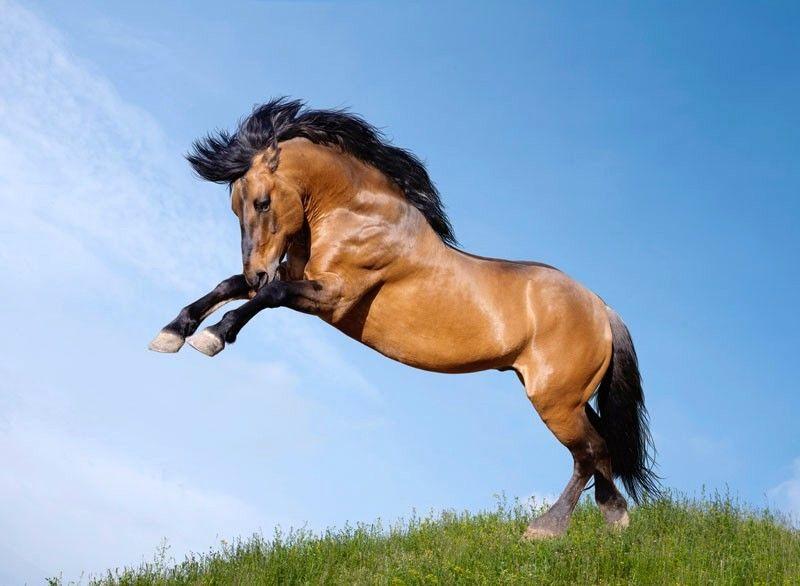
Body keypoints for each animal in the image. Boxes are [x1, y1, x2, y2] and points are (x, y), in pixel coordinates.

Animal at [149, 98, 658, 538]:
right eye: (235, 206)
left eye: (261, 203)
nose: (258, 268)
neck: (354, 213)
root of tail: (601, 307)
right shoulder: (295, 275)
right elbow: (229, 286)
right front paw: (171, 334)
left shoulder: (332, 296)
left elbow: (266, 296)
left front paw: (214, 336)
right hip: (569, 397)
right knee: (600, 449)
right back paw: (615, 519)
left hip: (555, 401)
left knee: (587, 453)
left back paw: (547, 529)